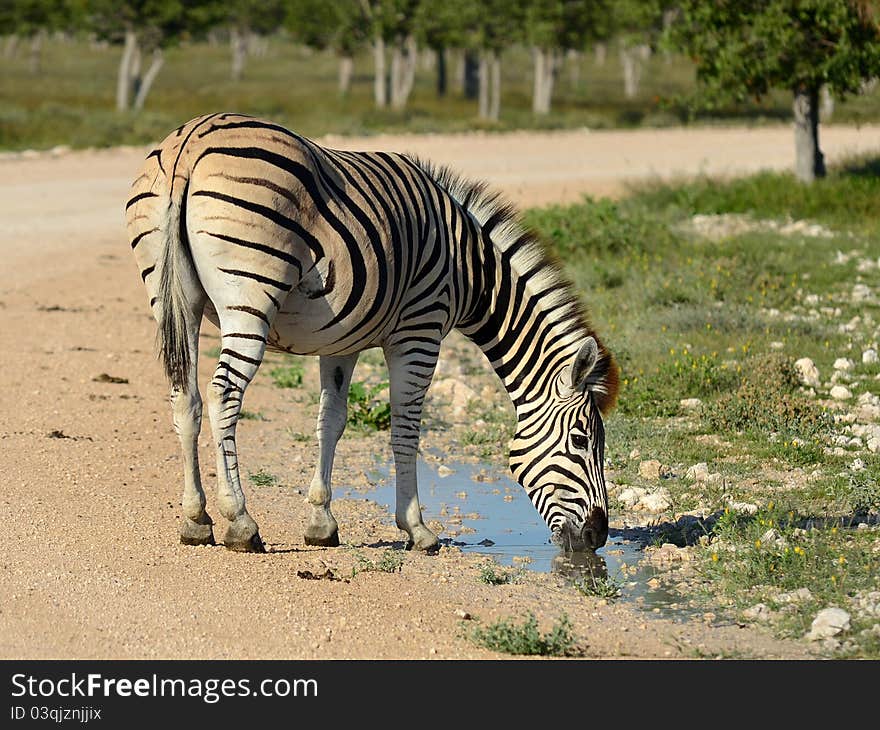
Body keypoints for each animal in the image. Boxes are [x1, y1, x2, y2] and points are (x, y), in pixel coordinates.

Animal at [127, 112, 620, 552]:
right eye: (581, 441)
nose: (598, 536)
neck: (470, 271)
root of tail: (190, 141)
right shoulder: (420, 331)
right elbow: (406, 426)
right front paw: (416, 528)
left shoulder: (340, 338)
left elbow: (331, 420)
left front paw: (321, 522)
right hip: (249, 296)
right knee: (224, 395)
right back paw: (240, 522)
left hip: (173, 300)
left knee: (185, 397)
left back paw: (196, 520)